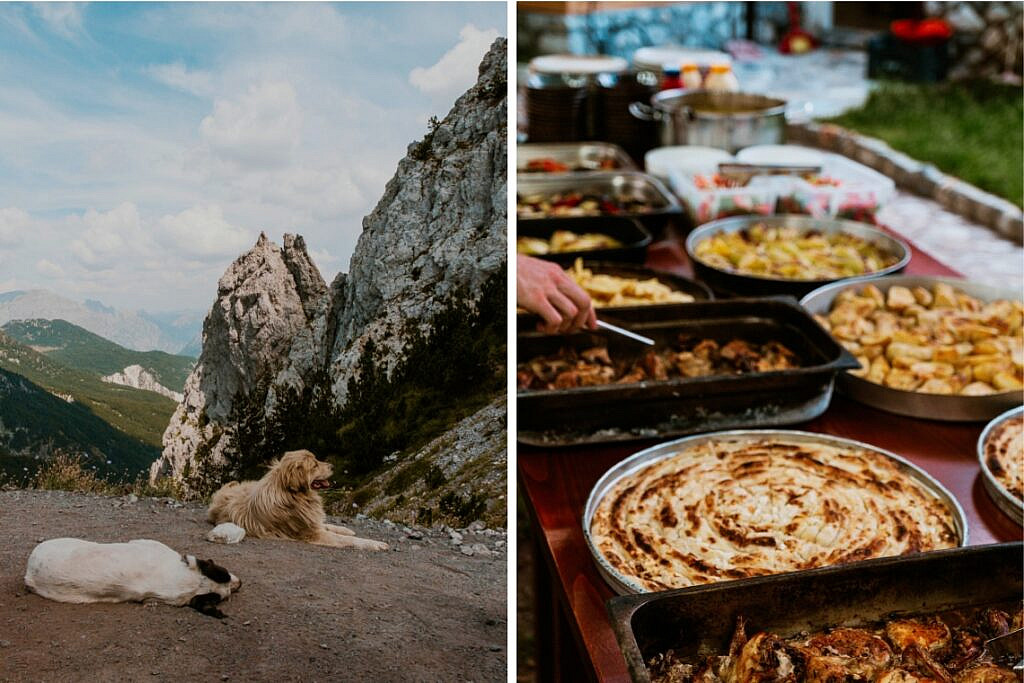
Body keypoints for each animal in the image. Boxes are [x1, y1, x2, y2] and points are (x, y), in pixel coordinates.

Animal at [206, 450, 387, 552]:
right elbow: (347, 540)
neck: (294, 495)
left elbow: (329, 526)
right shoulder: (313, 533)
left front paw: (346, 529)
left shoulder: (311, 522)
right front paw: (376, 544)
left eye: (317, 460)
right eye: (314, 465)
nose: (333, 466)